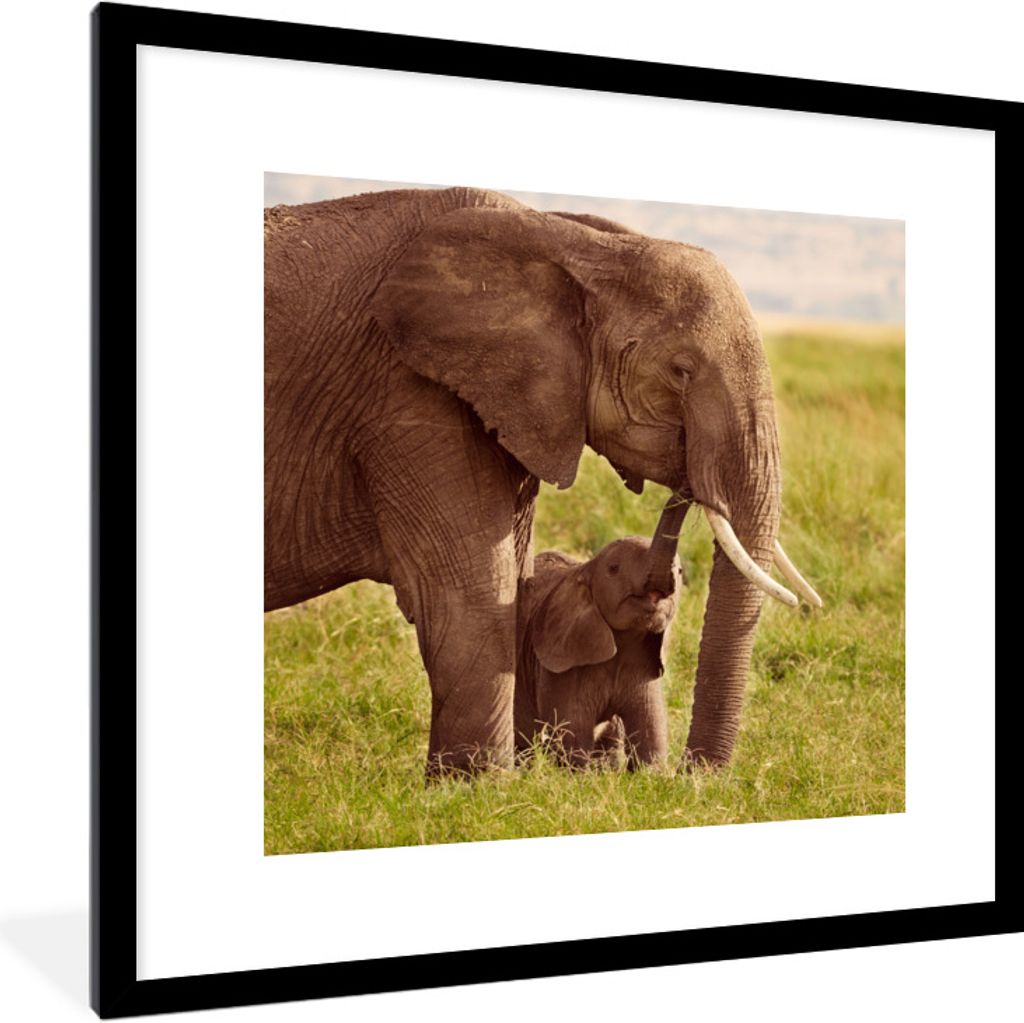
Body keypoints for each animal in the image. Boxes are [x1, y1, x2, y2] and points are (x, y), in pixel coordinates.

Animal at [514, 494, 690, 770]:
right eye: (614, 568)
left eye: (681, 572)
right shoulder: (562, 666)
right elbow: (573, 734)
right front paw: (579, 773)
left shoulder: (645, 664)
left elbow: (651, 734)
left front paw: (651, 774)